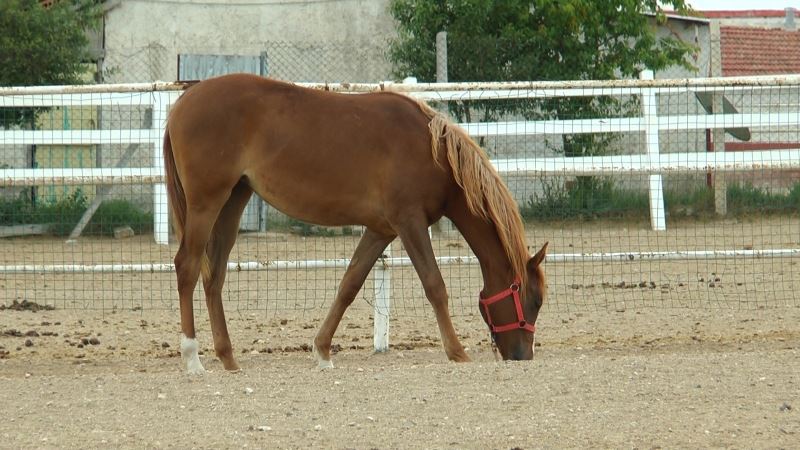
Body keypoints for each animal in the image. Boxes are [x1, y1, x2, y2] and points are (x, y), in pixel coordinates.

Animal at [162, 73, 552, 372]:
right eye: (534, 301)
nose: (522, 356)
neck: (432, 151)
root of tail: (183, 102)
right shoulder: (410, 223)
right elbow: (435, 285)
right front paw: (457, 352)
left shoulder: (381, 230)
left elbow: (349, 284)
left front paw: (322, 350)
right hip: (206, 204)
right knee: (188, 267)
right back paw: (192, 358)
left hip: (233, 202)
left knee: (214, 276)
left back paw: (228, 359)